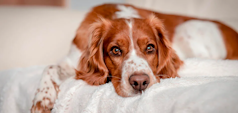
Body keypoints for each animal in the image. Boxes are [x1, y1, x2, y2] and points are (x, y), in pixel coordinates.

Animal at [31, 3, 238, 113]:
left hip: (189, 29)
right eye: (115, 50)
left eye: (150, 48)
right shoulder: (72, 61)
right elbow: (49, 67)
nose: (140, 82)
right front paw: (42, 100)